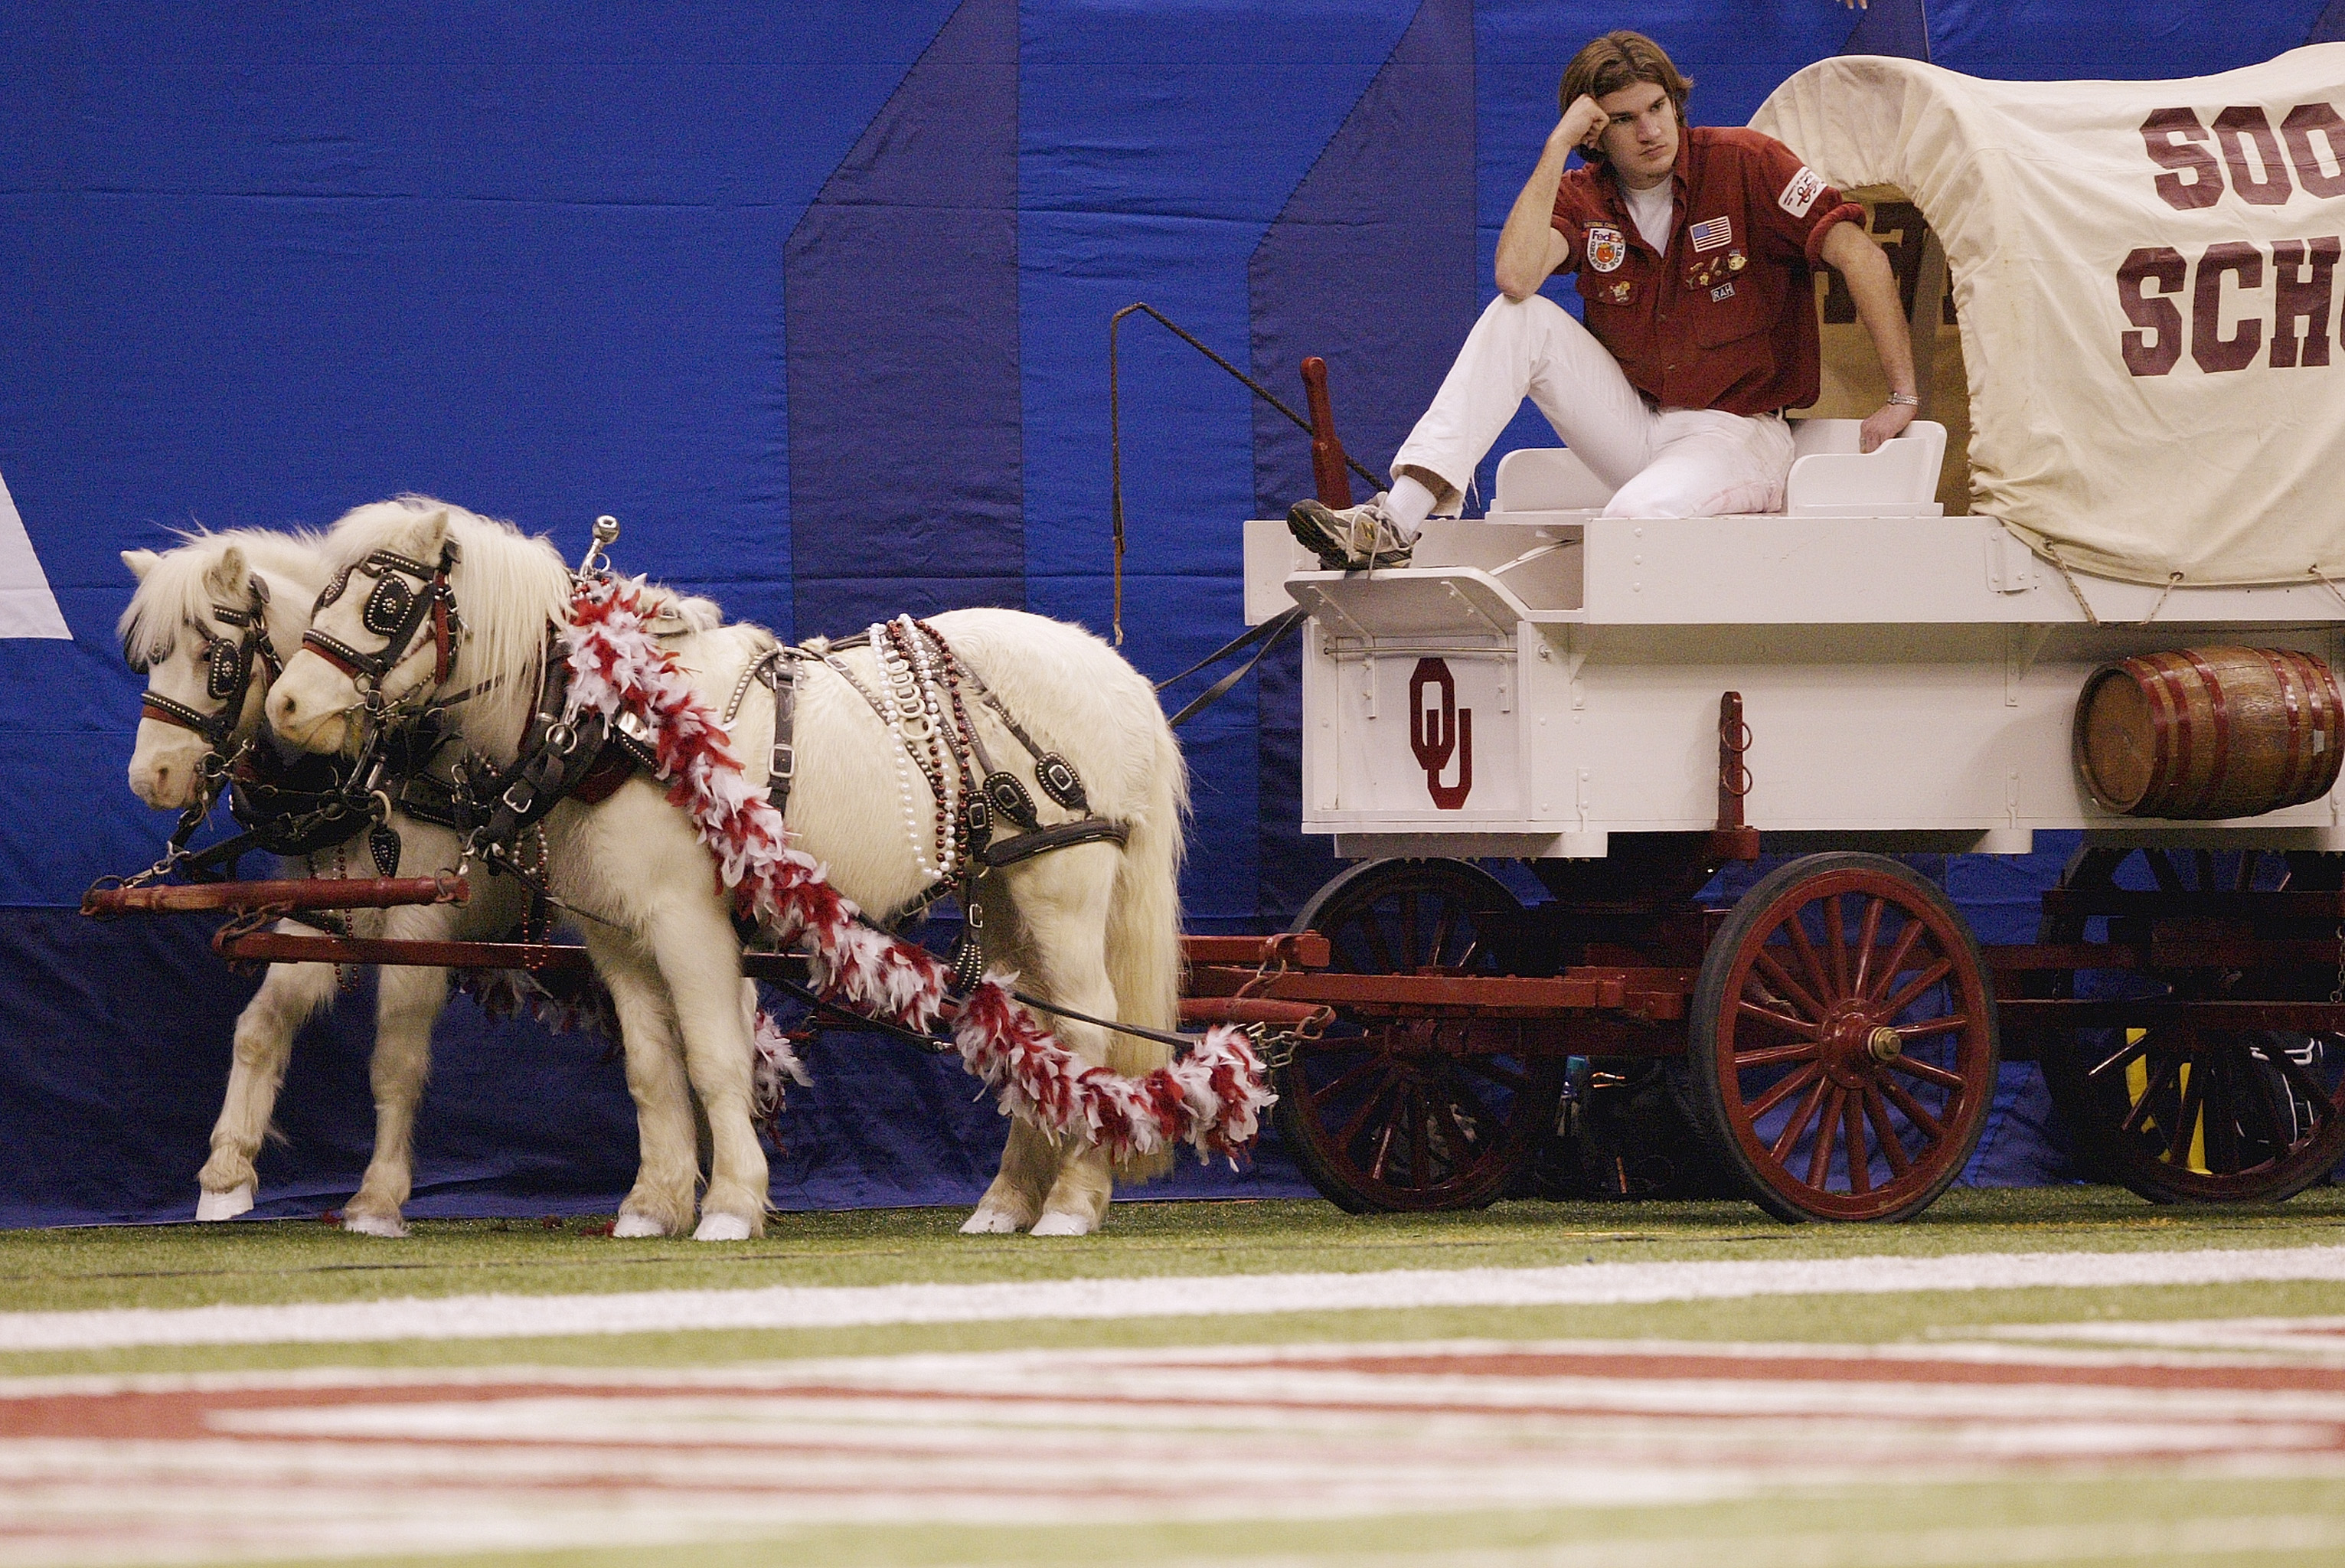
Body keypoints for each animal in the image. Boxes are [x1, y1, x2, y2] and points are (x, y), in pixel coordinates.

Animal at [117, 529, 518, 1237]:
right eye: (149, 659)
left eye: (214, 658)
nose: (149, 777)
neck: (380, 770)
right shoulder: (318, 914)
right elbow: (259, 1027)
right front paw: (226, 1175)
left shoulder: (422, 924)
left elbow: (396, 1063)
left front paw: (379, 1197)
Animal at [269, 499, 1191, 1237]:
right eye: (320, 596)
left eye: (386, 604)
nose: (285, 705)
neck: (607, 723)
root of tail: (1118, 674)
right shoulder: (618, 935)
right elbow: (652, 1070)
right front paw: (652, 1206)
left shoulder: (687, 920)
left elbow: (714, 1057)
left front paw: (731, 1205)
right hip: (1002, 890)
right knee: (1037, 1038)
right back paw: (1004, 1203)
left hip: (1061, 883)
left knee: (1091, 1029)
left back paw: (1072, 1201)